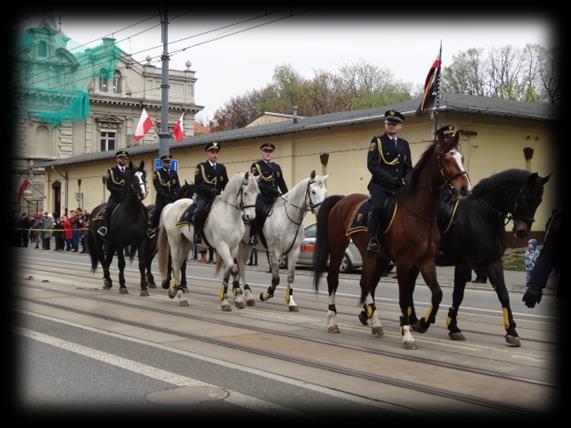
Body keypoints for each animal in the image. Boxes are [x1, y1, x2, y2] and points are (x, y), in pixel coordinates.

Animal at [86, 159, 151, 296]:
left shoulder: (142, 241)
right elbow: (121, 263)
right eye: (133, 177)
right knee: (103, 260)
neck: (132, 212)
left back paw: (109, 281)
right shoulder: (119, 242)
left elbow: (142, 264)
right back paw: (107, 280)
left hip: (110, 244)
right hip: (99, 242)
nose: (143, 193)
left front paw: (144, 288)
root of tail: (94, 211)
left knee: (108, 260)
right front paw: (123, 286)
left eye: (144, 176)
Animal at [159, 172, 262, 310]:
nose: (250, 217)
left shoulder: (233, 248)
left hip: (186, 244)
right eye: (245, 193)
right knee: (175, 265)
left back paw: (174, 290)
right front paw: (233, 299)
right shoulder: (222, 246)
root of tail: (172, 205)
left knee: (180, 264)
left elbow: (229, 271)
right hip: (174, 242)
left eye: (257, 193)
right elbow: (234, 269)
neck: (230, 215)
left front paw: (232, 299)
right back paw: (181, 296)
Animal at [233, 170, 330, 310]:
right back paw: (237, 293)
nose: (323, 212)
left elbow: (291, 277)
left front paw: (291, 302)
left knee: (241, 266)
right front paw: (266, 295)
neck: (288, 217)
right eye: (313, 191)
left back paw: (245, 294)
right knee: (236, 266)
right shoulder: (274, 252)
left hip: (247, 246)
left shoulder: (294, 252)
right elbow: (276, 279)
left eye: (325, 191)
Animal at [316, 129, 472, 350]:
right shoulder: (404, 262)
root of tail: (343, 199)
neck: (419, 212)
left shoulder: (426, 260)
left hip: (372, 255)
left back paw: (376, 324)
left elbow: (437, 293)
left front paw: (422, 323)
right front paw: (407, 334)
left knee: (366, 283)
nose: (465, 188)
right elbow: (404, 298)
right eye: (446, 158)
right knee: (333, 280)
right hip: (338, 247)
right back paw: (332, 322)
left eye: (461, 157)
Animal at [406, 169, 548, 346]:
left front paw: (512, 332)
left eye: (539, 200)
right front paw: (453, 327)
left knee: (409, 285)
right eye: (526, 197)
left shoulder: (493, 262)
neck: (482, 216)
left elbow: (504, 295)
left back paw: (412, 319)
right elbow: (458, 295)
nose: (522, 232)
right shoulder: (463, 264)